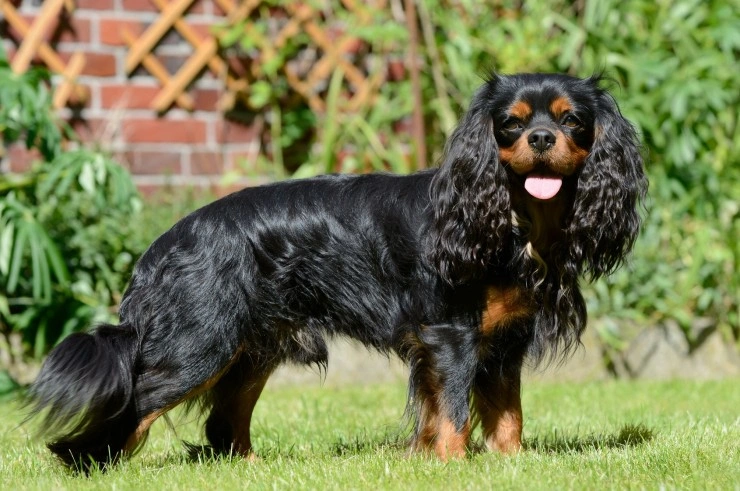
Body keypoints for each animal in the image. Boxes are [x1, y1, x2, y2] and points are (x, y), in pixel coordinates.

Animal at [26, 72, 644, 468]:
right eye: (510, 125)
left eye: (572, 120)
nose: (541, 137)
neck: (514, 219)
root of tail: (163, 243)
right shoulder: (451, 336)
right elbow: (453, 411)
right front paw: (452, 466)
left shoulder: (505, 342)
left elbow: (508, 413)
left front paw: (512, 463)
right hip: (198, 345)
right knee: (135, 402)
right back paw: (91, 465)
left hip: (252, 349)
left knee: (224, 421)